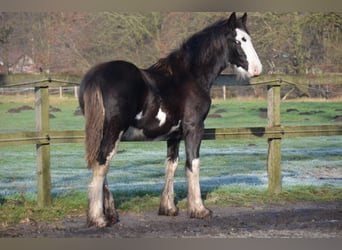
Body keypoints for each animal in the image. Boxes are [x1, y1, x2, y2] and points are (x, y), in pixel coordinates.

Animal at [79, 12, 262, 228]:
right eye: (238, 40)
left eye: (248, 37)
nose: (257, 69)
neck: (189, 76)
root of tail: (96, 76)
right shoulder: (194, 128)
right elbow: (193, 164)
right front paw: (199, 209)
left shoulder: (174, 135)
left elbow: (171, 165)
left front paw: (168, 208)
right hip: (114, 131)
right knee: (102, 163)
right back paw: (98, 218)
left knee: (100, 164)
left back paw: (110, 214)